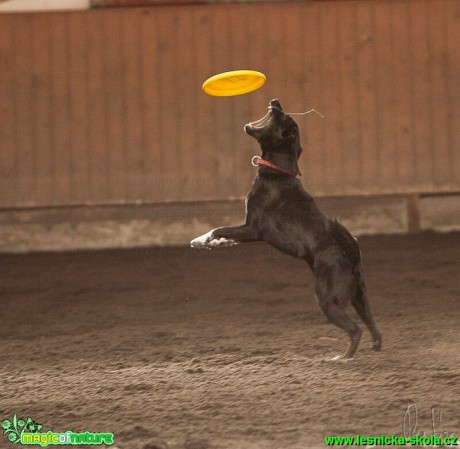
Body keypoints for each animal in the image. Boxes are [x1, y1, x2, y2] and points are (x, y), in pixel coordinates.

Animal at [190, 99, 380, 360]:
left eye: (284, 118)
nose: (275, 102)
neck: (277, 171)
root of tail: (351, 255)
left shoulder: (254, 229)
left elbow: (219, 229)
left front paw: (201, 240)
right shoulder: (249, 231)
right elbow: (226, 235)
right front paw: (216, 243)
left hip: (328, 299)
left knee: (355, 330)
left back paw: (343, 358)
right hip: (360, 297)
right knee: (372, 326)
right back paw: (375, 347)